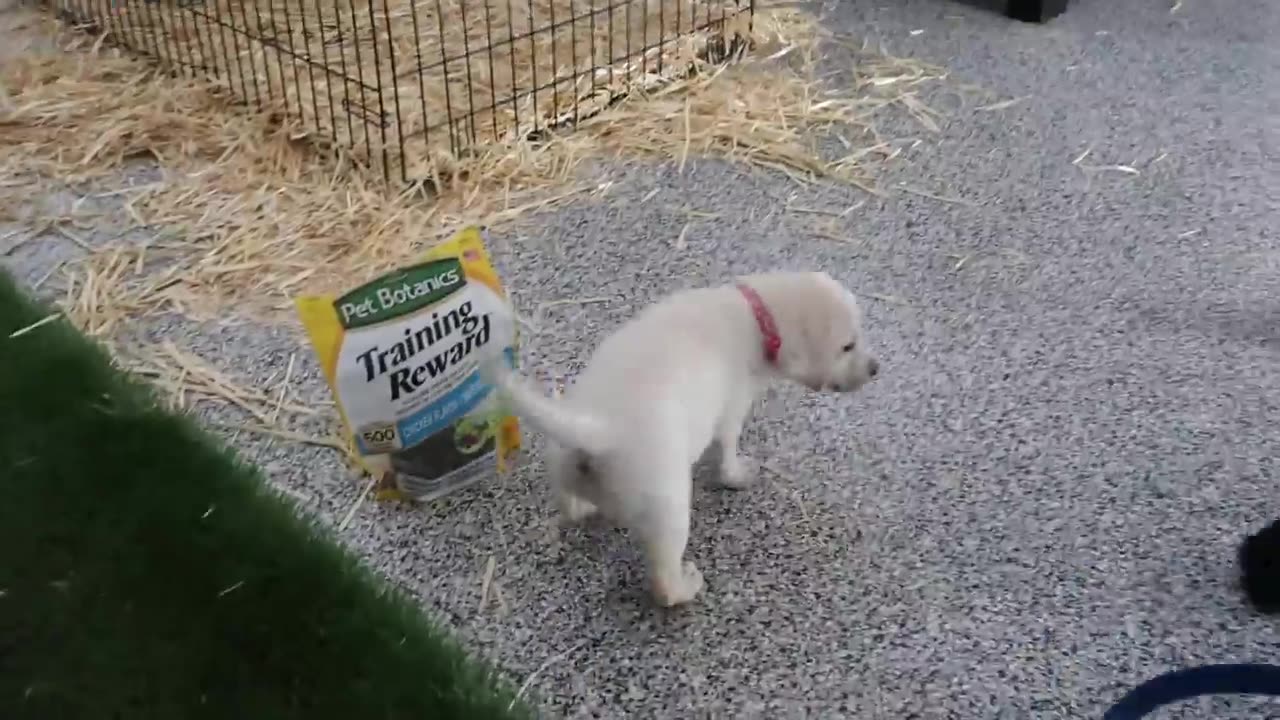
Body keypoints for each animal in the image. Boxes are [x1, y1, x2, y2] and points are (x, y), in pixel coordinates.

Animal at [481, 270, 880, 604]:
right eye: (847, 346)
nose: (876, 368)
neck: (755, 315)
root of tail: (598, 428)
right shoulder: (733, 405)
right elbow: (728, 449)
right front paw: (738, 474)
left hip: (564, 462)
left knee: (571, 504)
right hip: (668, 509)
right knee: (664, 582)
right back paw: (686, 586)